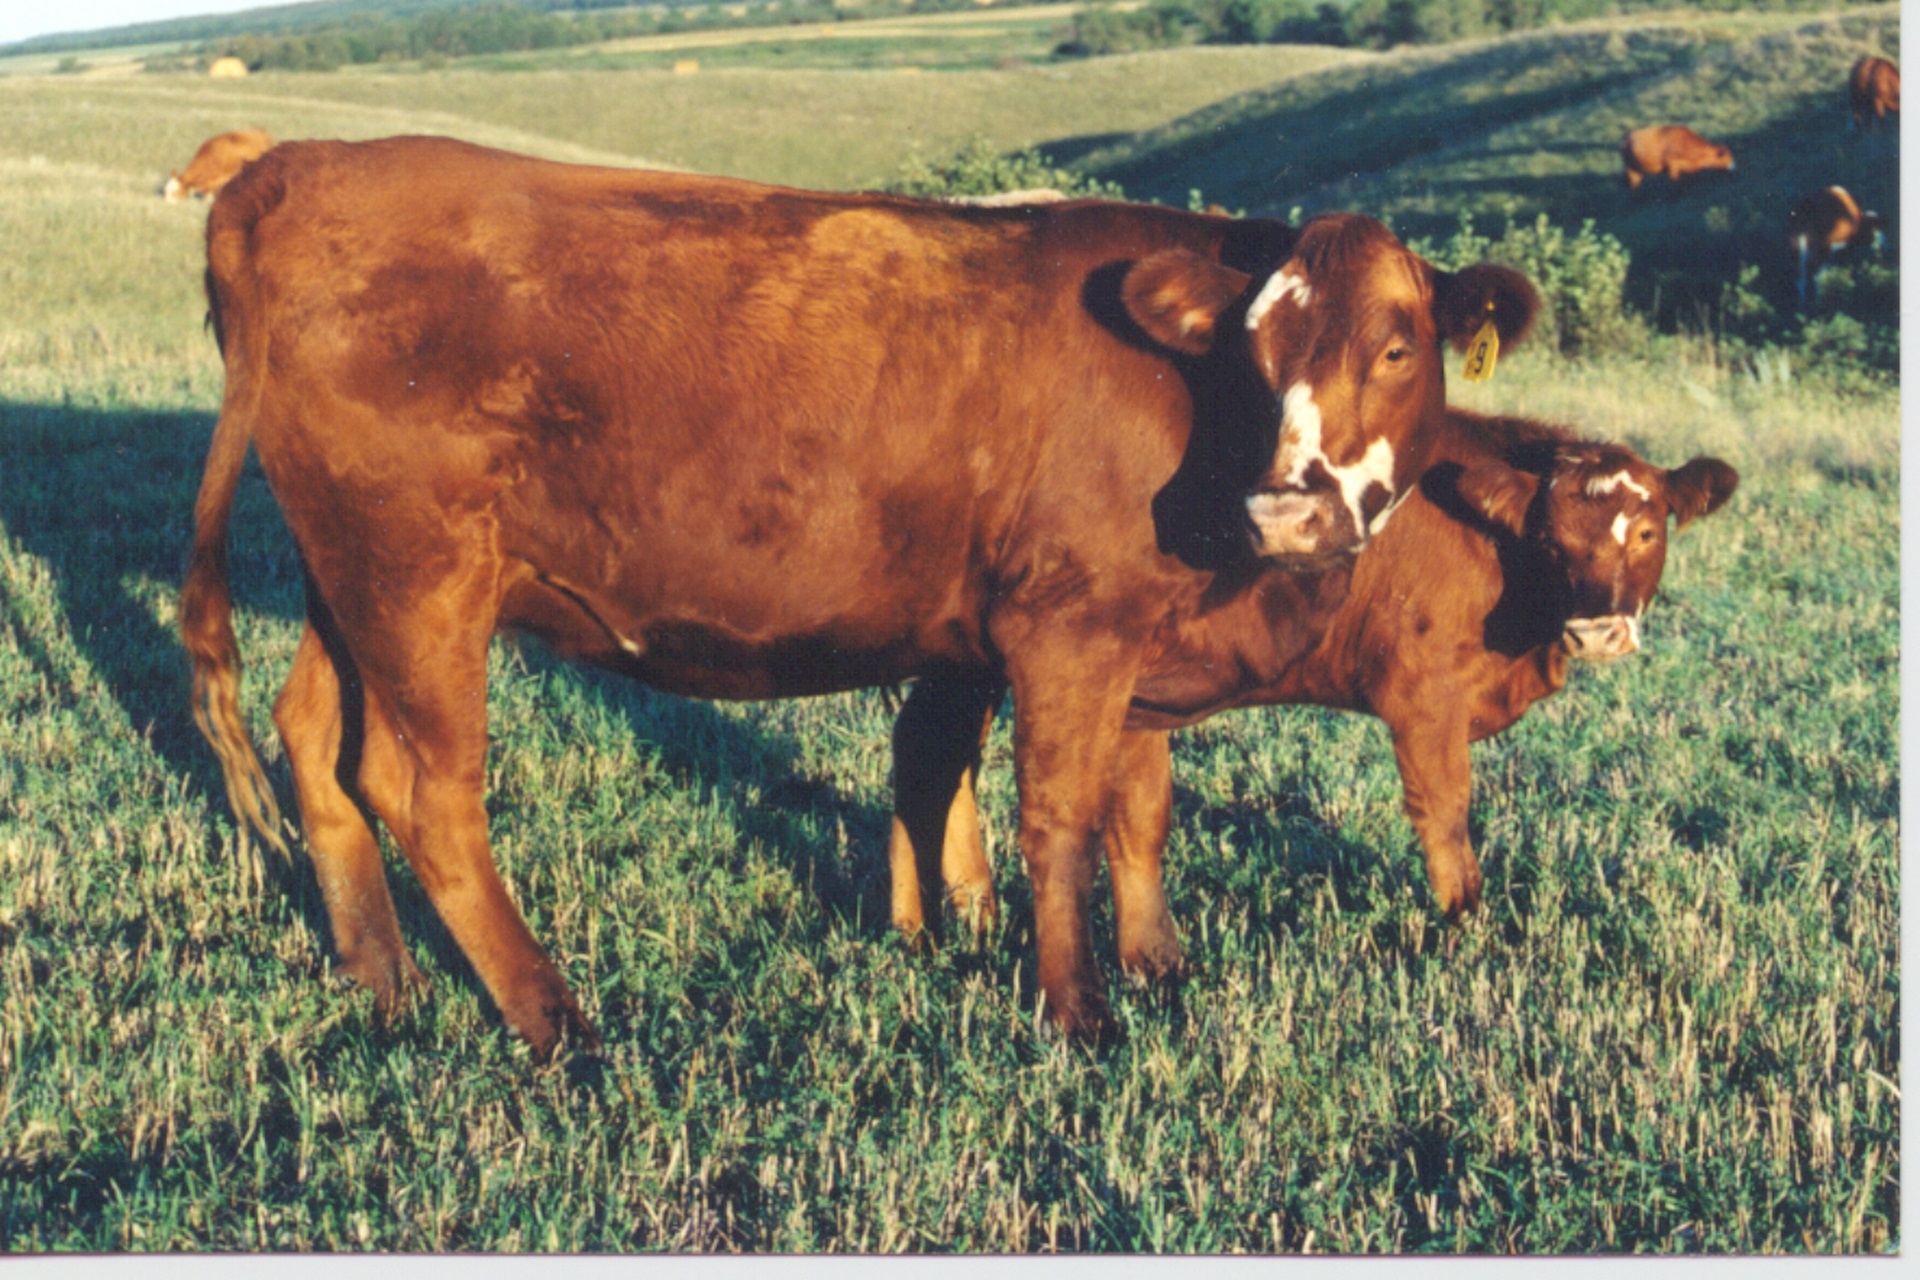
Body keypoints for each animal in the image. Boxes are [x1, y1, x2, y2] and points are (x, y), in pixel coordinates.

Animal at [181, 135, 1538, 1057]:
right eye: (1255, 355)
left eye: (1398, 345)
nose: (1291, 511)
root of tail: (295, 169)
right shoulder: (1068, 628)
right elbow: (1058, 818)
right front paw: (1080, 1011)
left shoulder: (1122, 642)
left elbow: (1128, 810)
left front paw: (1152, 965)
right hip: (422, 579)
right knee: (427, 791)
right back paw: (557, 1017)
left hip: (353, 578)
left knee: (319, 743)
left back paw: (388, 982)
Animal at [887, 409, 1736, 977]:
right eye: (1553, 540)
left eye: (1648, 531)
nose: (1597, 631)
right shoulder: (1423, 695)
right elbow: (1447, 815)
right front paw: (1464, 926)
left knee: (932, 754)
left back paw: (950, 919)